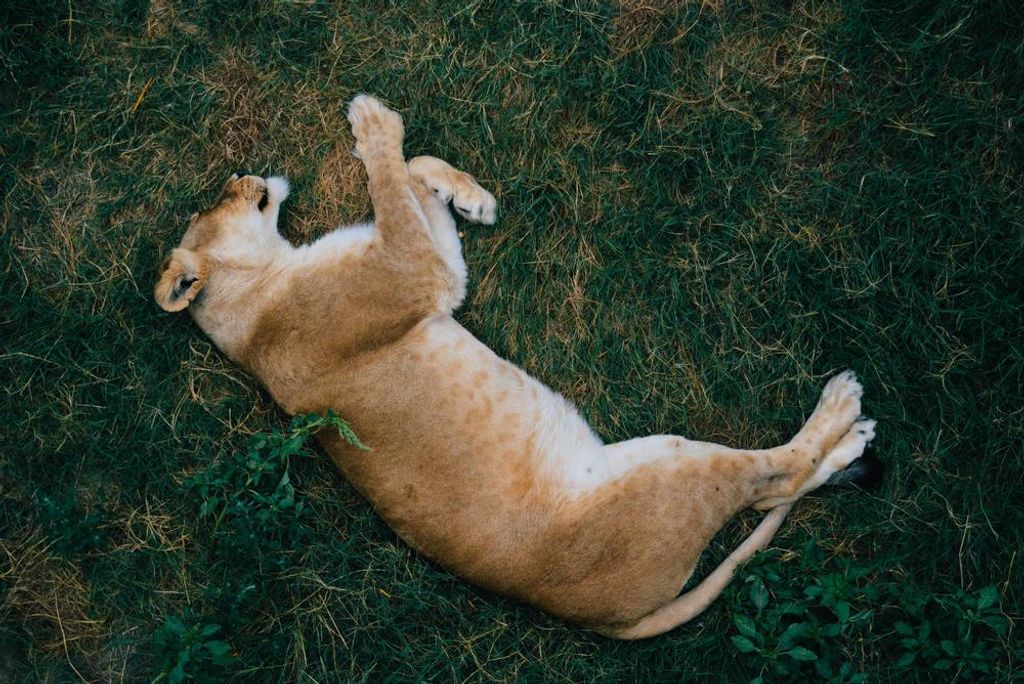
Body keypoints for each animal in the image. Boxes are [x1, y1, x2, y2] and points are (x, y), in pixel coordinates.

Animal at [155, 95, 880, 639]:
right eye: (218, 198)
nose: (245, 176)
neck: (258, 294)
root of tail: (588, 617)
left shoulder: (435, 273)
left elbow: (414, 178)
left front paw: (470, 198)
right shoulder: (415, 275)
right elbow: (392, 179)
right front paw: (374, 122)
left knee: (778, 488)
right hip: (675, 473)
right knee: (774, 479)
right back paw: (846, 415)